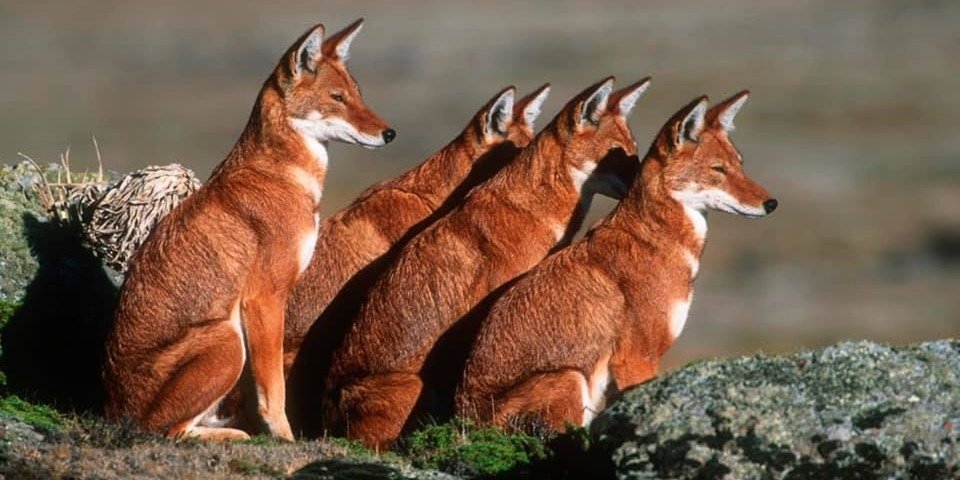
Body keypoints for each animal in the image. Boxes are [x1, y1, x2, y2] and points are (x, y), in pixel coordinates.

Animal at [103, 19, 394, 441]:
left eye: (358, 94)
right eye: (337, 98)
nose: (390, 134)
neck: (284, 178)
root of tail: (111, 413)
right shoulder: (264, 299)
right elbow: (274, 389)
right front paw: (285, 438)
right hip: (228, 341)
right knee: (168, 431)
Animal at [455, 91, 778, 431]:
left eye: (740, 166)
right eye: (718, 169)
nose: (771, 203)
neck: (658, 243)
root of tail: (463, 421)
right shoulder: (636, 359)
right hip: (570, 377)